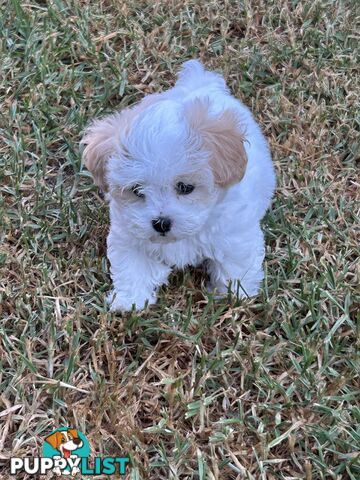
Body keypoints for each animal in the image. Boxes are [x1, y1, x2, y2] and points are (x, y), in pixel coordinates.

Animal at [81, 59, 276, 312]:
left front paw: (235, 297)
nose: (161, 223)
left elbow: (235, 266)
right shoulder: (129, 237)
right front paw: (129, 300)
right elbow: (132, 267)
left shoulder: (234, 235)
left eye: (185, 187)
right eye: (137, 190)